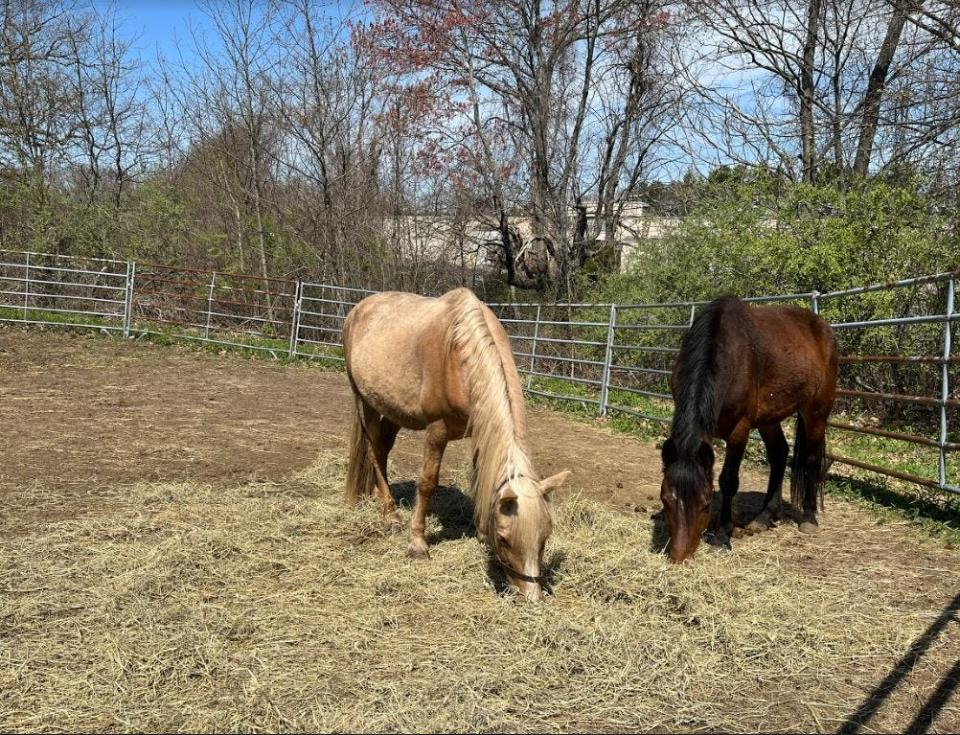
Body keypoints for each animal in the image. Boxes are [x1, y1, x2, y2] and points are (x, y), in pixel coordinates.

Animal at [344, 284, 568, 600]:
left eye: (545, 536)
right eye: (505, 539)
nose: (530, 597)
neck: (460, 355)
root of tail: (358, 310)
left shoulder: (480, 431)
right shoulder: (436, 432)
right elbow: (427, 483)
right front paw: (417, 544)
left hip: (392, 410)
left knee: (383, 450)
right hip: (365, 402)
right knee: (374, 451)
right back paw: (390, 515)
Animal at [664, 296, 836, 560]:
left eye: (705, 503)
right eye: (665, 500)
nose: (679, 556)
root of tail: (824, 329)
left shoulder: (740, 428)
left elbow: (728, 480)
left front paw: (722, 536)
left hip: (815, 412)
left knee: (812, 459)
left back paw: (809, 518)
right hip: (768, 418)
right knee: (779, 453)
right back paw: (764, 517)